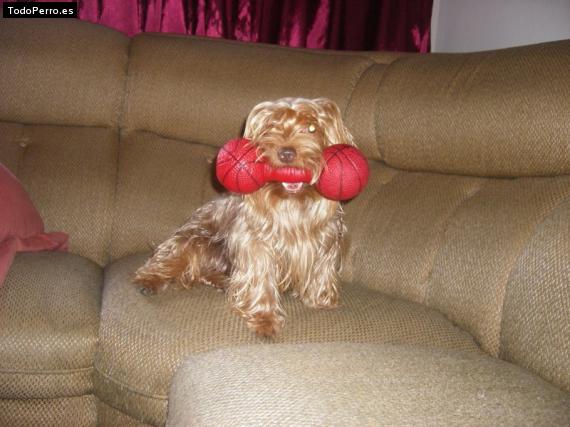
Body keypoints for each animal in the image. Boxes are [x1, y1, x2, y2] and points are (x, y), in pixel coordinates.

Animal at [133, 97, 354, 336]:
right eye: (271, 127)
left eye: (312, 128)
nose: (286, 153)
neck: (291, 203)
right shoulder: (255, 242)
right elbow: (260, 276)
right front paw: (264, 319)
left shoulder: (327, 238)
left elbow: (322, 268)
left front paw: (322, 300)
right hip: (194, 238)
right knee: (169, 258)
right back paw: (149, 280)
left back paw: (222, 281)